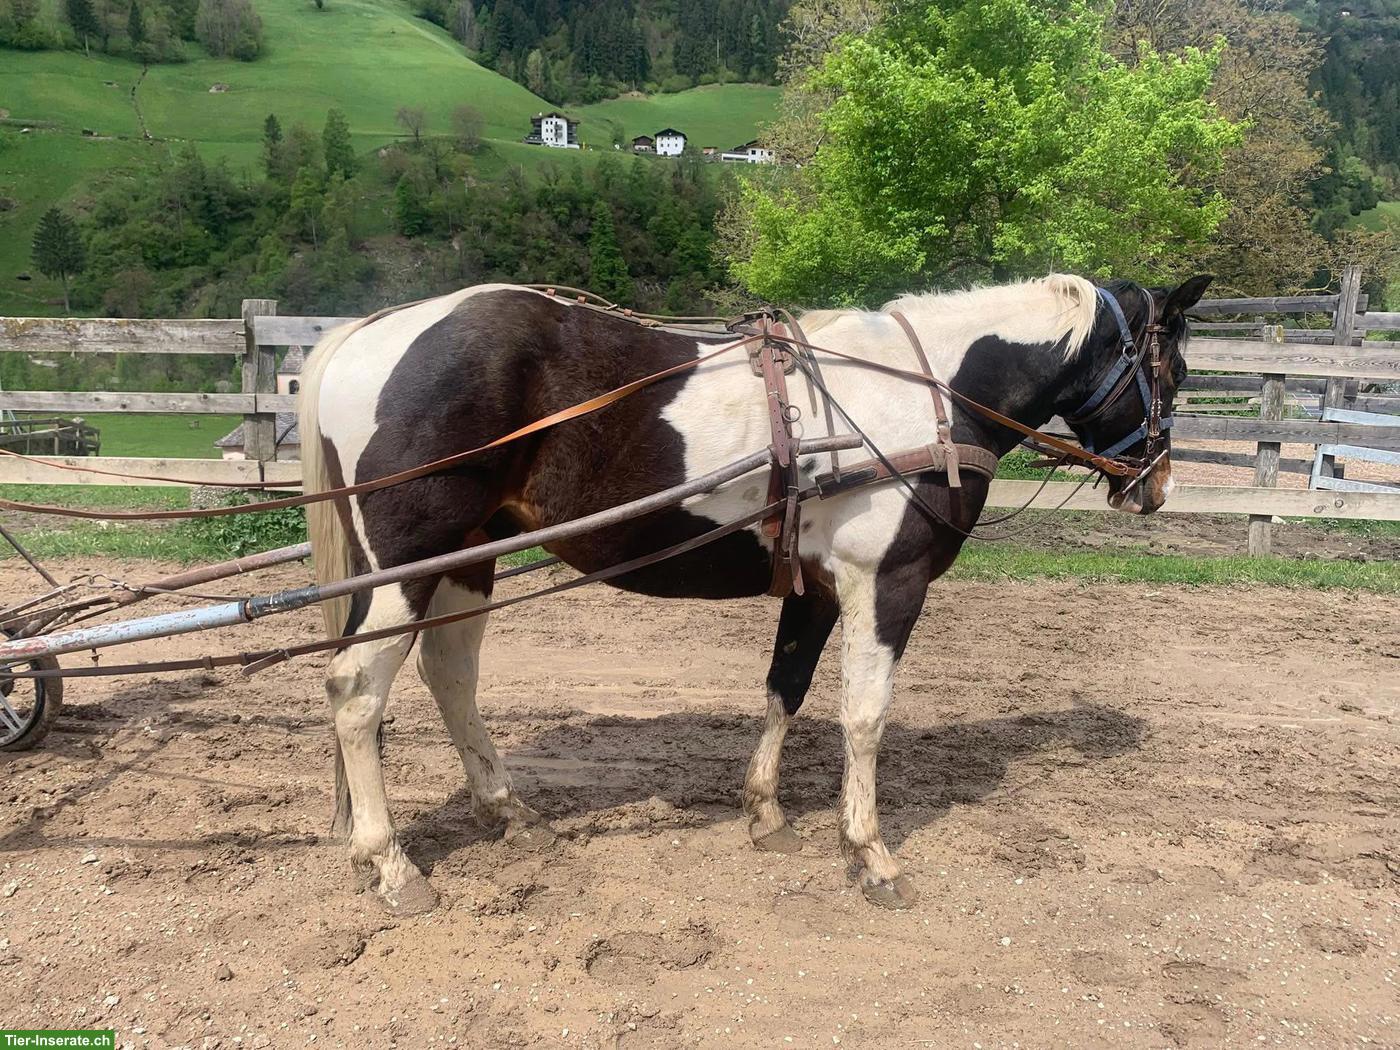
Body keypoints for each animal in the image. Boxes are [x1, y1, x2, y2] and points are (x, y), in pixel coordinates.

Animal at [297, 272, 1211, 914]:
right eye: (1172, 367)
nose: (1157, 485)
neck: (928, 395)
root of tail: (368, 335)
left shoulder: (818, 589)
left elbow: (786, 690)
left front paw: (765, 812)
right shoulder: (887, 582)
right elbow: (865, 716)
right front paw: (868, 853)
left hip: (469, 557)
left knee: (449, 673)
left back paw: (506, 812)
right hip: (407, 563)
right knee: (355, 691)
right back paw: (390, 864)